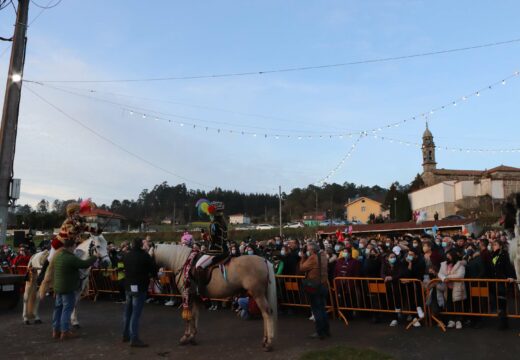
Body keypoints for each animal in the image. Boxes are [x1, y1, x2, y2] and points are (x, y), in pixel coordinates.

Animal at [148, 245, 278, 352]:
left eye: (148, 256)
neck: (184, 262)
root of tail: (264, 260)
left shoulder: (187, 295)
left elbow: (188, 318)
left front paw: (185, 337)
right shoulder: (195, 297)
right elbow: (194, 316)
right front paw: (192, 337)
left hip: (258, 294)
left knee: (267, 313)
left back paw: (269, 343)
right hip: (261, 294)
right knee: (265, 314)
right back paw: (265, 340)